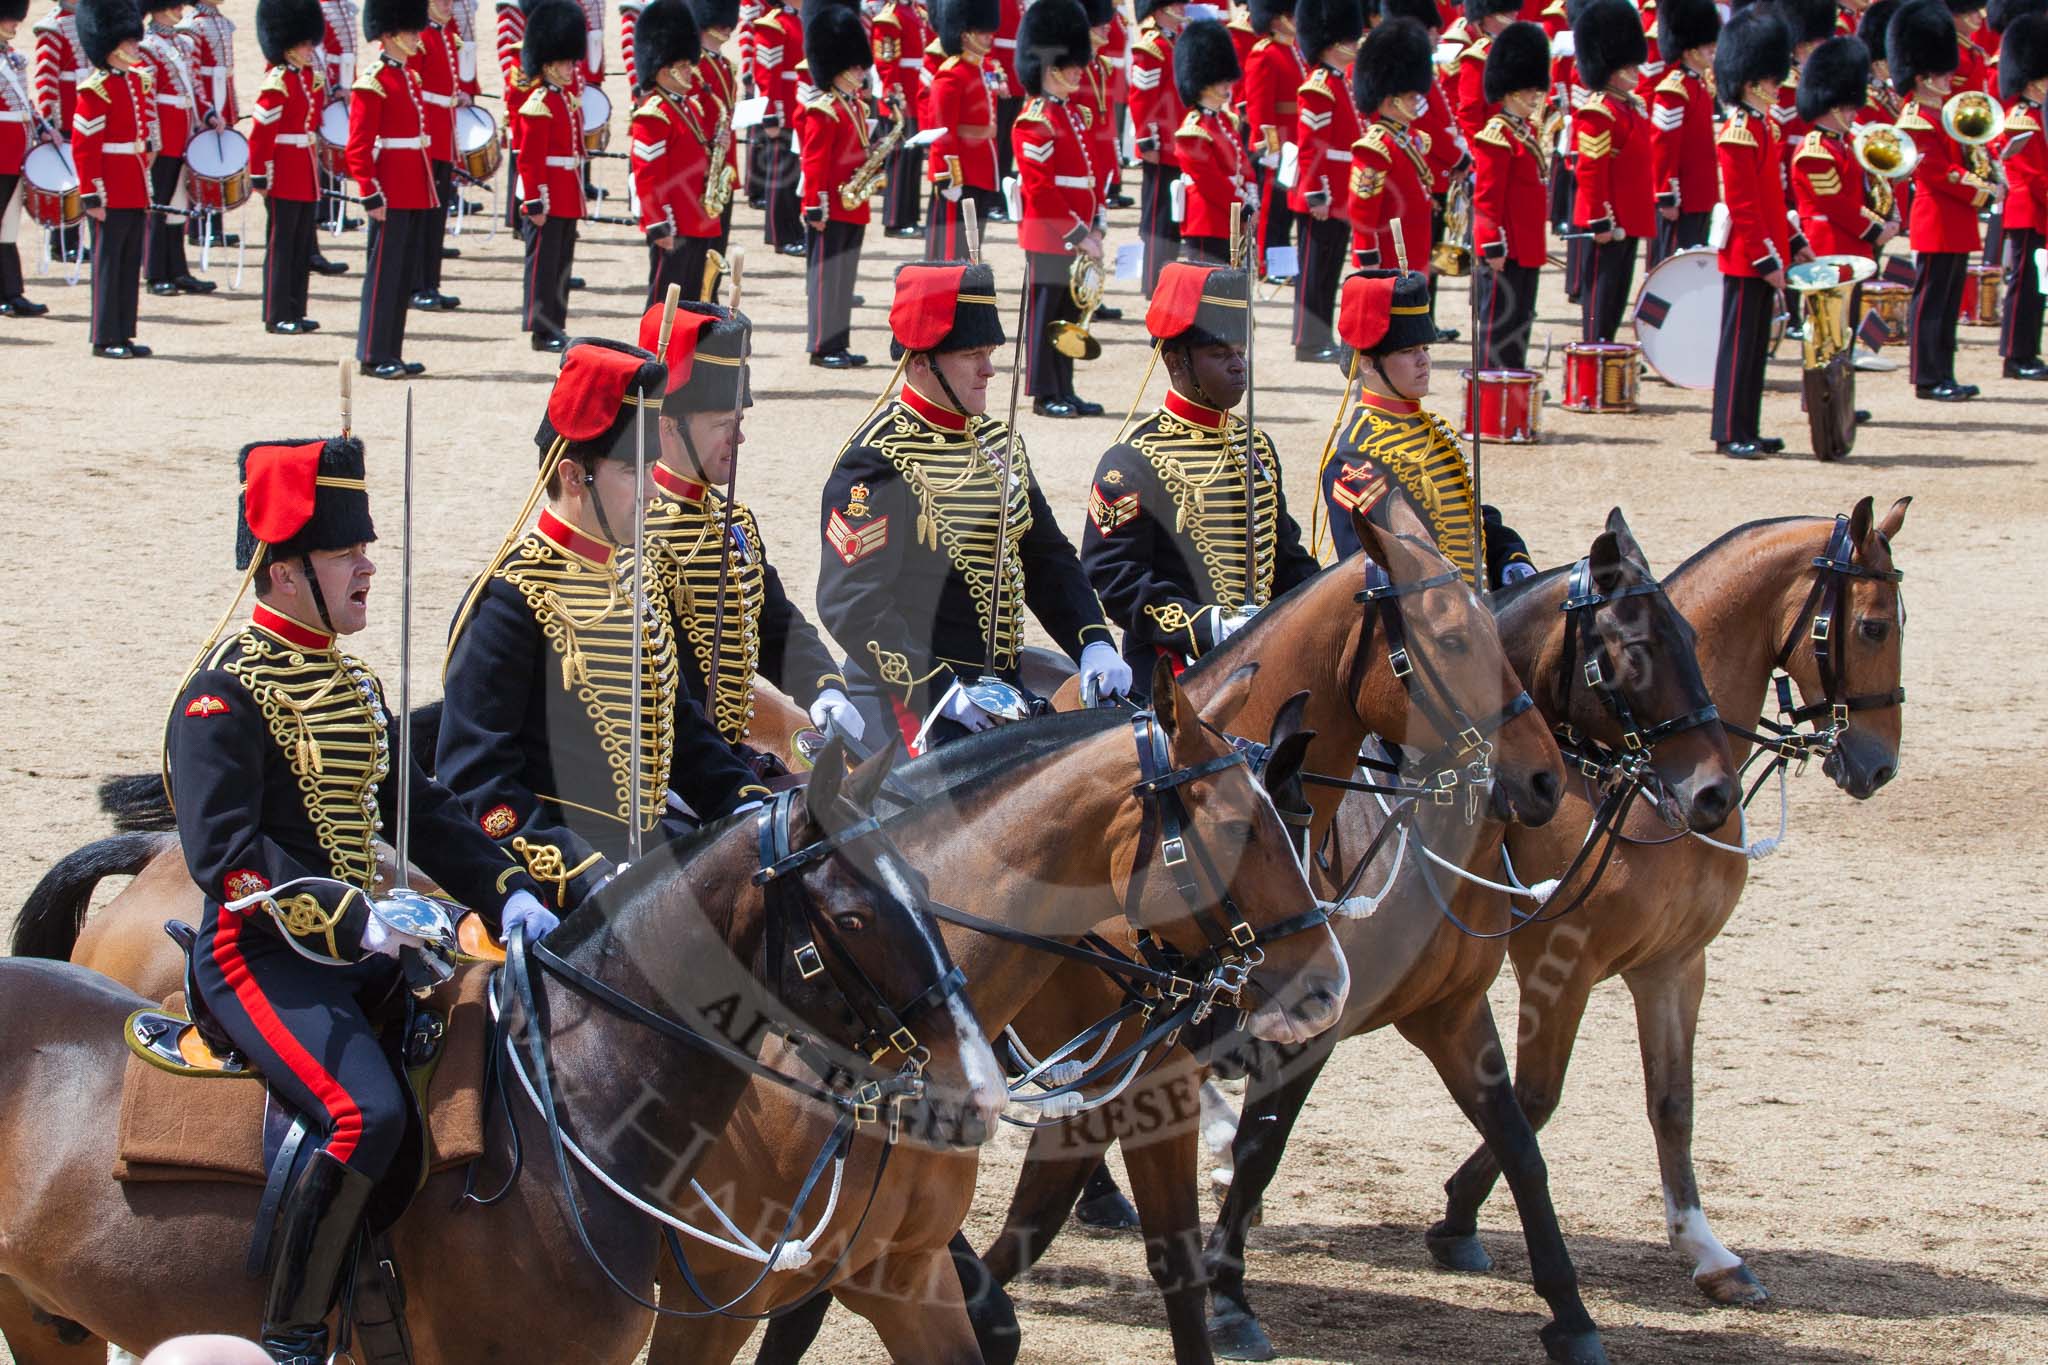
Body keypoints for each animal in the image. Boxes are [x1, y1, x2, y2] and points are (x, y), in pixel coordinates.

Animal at [1433, 497, 1908, 1309]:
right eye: (1875, 626)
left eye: (1689, 638)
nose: (1879, 765)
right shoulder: (1557, 966)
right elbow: (1533, 1098)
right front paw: (1458, 1215)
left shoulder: (1675, 965)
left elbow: (1672, 1102)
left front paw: (1707, 1250)